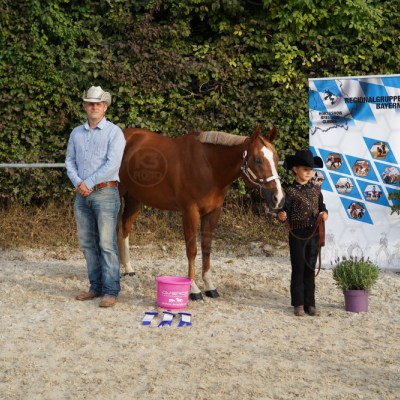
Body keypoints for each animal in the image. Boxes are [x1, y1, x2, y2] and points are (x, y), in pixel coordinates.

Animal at [117, 126, 285, 300]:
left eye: (276, 158)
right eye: (258, 160)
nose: (278, 198)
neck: (208, 166)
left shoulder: (212, 213)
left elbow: (206, 248)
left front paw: (210, 286)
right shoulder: (190, 212)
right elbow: (192, 250)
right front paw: (194, 289)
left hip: (135, 199)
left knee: (125, 228)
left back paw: (128, 269)